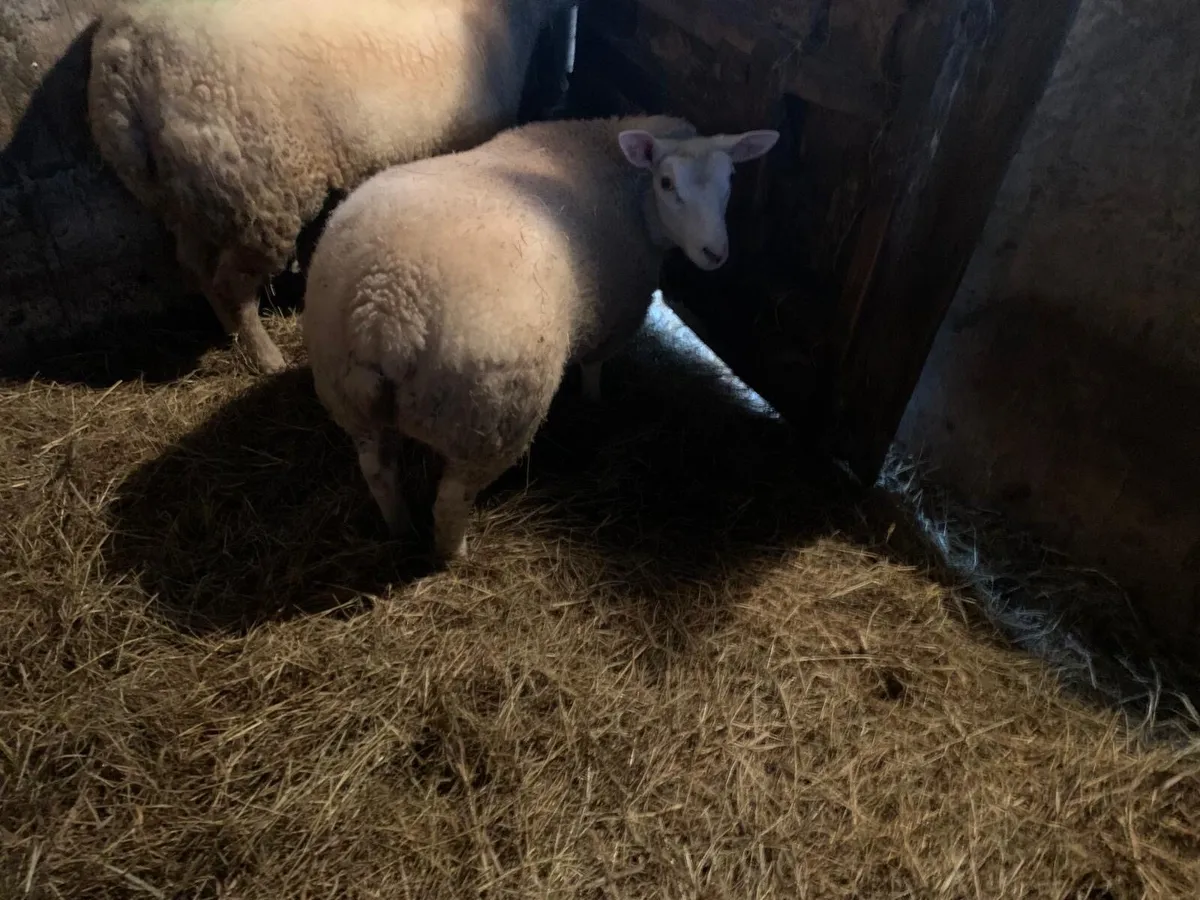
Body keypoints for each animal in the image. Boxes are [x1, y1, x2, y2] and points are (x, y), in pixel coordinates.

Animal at [87, 0, 579, 374]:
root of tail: (126, 56)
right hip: (257, 189)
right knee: (231, 282)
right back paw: (267, 358)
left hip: (189, 191)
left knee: (194, 266)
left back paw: (233, 337)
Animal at [301, 114, 779, 562]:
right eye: (666, 183)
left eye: (731, 179)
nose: (715, 253)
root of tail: (386, 310)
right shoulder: (615, 312)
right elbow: (593, 367)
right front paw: (594, 402)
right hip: (490, 416)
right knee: (451, 501)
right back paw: (454, 553)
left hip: (349, 394)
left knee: (379, 472)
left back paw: (400, 529)